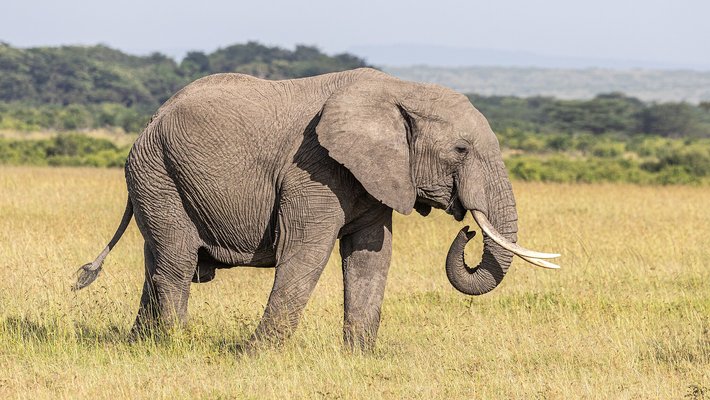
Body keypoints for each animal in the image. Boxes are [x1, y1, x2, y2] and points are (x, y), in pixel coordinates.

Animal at [73, 68, 560, 350]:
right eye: (460, 150)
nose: (468, 231)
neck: (400, 90)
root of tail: (152, 118)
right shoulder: (314, 168)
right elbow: (306, 252)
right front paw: (255, 355)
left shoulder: (374, 176)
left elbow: (371, 256)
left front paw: (360, 357)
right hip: (158, 172)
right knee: (174, 263)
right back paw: (174, 345)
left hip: (159, 178)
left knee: (156, 261)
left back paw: (139, 346)